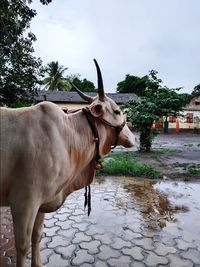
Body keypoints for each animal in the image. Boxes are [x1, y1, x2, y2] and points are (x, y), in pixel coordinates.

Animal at [0, 60, 135, 267]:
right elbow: (22, 246)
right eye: (118, 111)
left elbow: (37, 235)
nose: (134, 138)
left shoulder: (42, 202)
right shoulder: (24, 201)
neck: (67, 135)